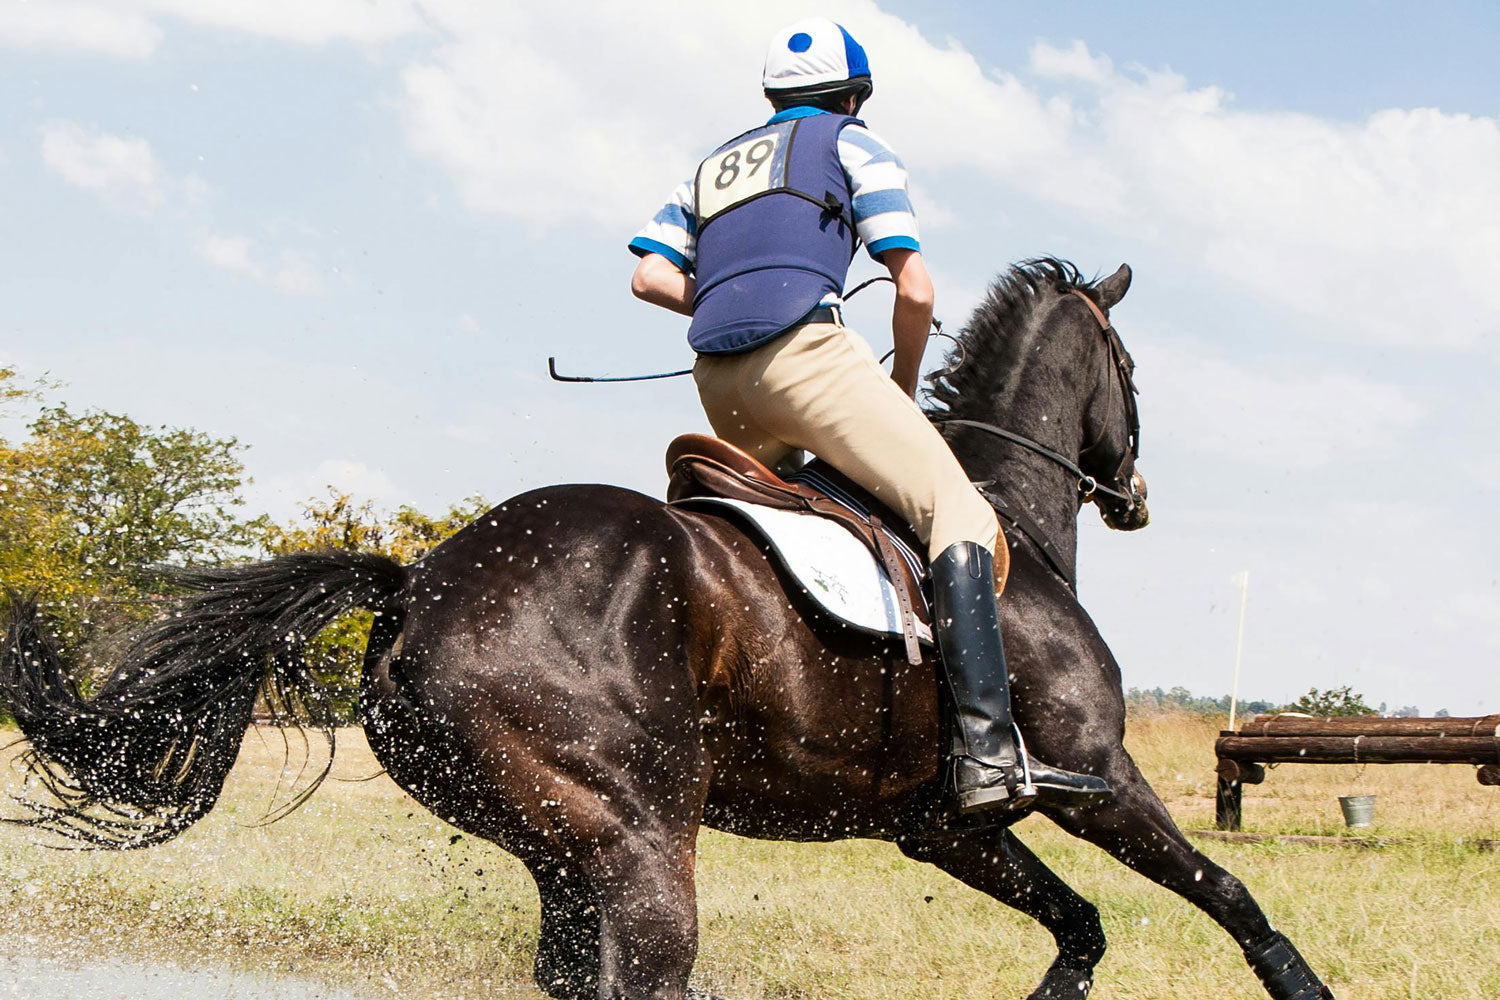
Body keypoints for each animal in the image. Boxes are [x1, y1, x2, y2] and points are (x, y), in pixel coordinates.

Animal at [0, 260, 1338, 1000]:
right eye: (1131, 373)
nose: (1137, 492)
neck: (1002, 515)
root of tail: (422, 582)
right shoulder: (1093, 776)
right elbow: (1226, 890)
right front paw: (1305, 981)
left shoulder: (937, 825)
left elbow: (1082, 927)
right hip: (644, 830)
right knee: (646, 970)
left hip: (557, 838)